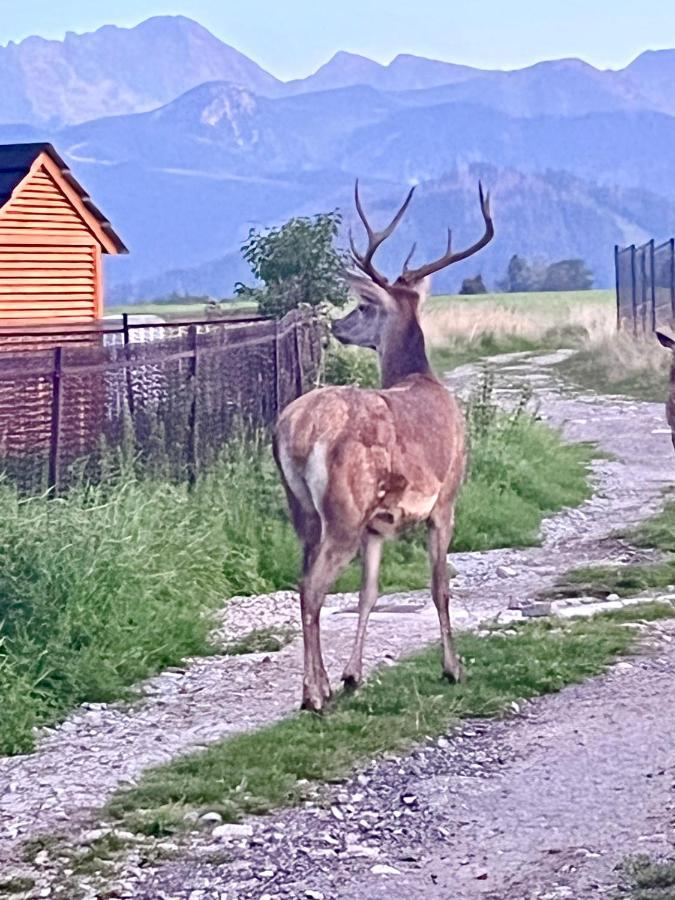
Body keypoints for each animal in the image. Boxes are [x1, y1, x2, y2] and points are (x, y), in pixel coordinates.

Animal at [272, 181, 494, 712]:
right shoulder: (446, 498)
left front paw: (354, 674)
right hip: (344, 507)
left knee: (303, 580)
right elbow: (440, 587)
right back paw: (314, 695)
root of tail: (296, 429)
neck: (419, 378)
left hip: (304, 511)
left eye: (365, 307)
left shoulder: (377, 525)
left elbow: (369, 593)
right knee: (312, 588)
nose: (338, 326)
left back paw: (322, 685)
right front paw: (453, 667)